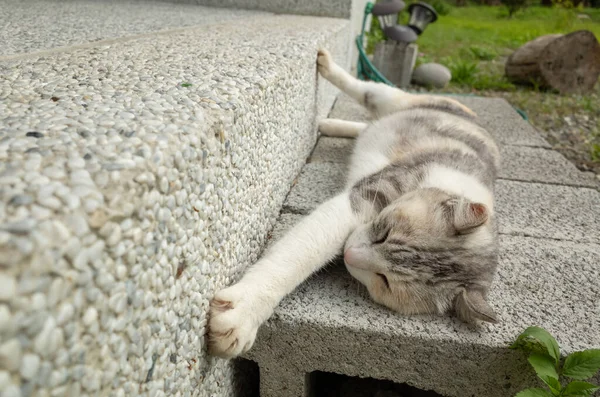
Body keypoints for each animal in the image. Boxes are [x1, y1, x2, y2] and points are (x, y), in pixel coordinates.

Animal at [209, 48, 500, 358]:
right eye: (384, 234)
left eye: (385, 281)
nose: (349, 254)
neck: (450, 183)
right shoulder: (362, 199)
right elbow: (299, 254)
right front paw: (245, 311)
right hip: (393, 98)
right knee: (365, 90)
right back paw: (326, 66)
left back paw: (331, 125)